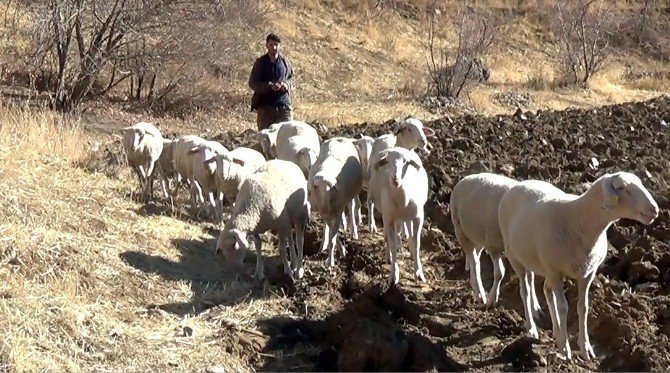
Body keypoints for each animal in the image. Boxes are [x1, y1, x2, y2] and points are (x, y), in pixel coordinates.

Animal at [308, 137, 364, 268]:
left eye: (331, 188)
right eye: (316, 187)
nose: (325, 208)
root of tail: (340, 138)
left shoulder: (337, 211)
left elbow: (333, 238)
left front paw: (331, 262)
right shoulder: (325, 213)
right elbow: (332, 235)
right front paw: (340, 251)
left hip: (351, 194)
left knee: (351, 206)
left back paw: (354, 231)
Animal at [368, 147, 430, 284]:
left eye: (406, 162)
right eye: (387, 161)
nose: (395, 180)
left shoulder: (418, 218)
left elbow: (416, 243)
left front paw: (418, 273)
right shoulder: (389, 219)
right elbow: (392, 244)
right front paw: (394, 274)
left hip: (405, 218)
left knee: (407, 234)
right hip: (388, 216)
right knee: (389, 237)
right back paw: (389, 257)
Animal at [498, 171, 660, 360]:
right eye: (621, 187)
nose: (654, 210)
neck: (579, 220)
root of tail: (518, 184)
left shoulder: (587, 273)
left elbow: (583, 308)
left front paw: (585, 348)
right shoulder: (556, 272)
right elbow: (563, 308)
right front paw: (565, 349)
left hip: (539, 263)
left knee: (545, 290)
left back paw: (556, 331)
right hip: (514, 256)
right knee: (525, 291)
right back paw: (532, 328)